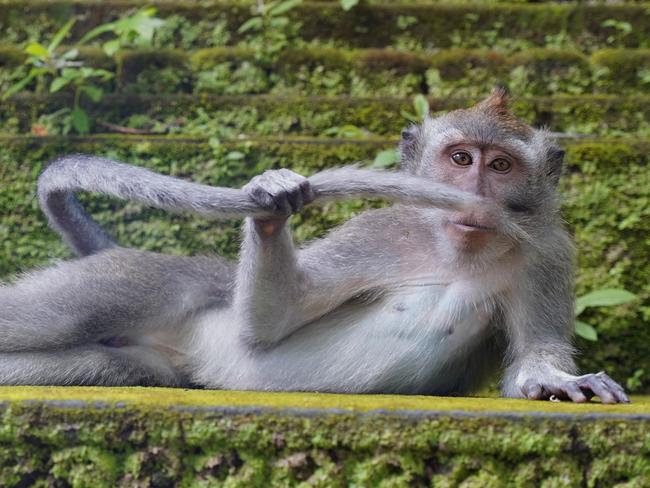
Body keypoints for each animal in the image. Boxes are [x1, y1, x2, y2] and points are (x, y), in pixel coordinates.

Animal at [0, 89, 628, 402]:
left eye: (500, 166)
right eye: (459, 158)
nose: (475, 195)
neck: (457, 254)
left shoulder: (547, 255)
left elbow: (531, 360)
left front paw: (556, 380)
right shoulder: (376, 234)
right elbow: (269, 325)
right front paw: (274, 199)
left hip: (153, 365)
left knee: (101, 363)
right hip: (147, 279)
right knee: (80, 307)